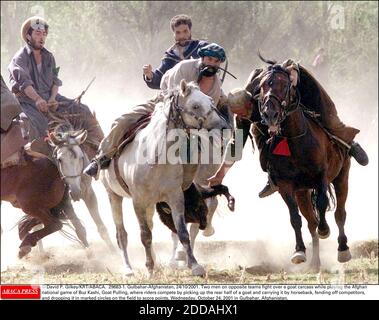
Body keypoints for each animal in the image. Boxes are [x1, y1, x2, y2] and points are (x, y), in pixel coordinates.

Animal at [101, 80, 232, 278]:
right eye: (195, 105)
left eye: (211, 100)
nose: (224, 128)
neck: (155, 155)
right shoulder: (138, 201)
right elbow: (145, 235)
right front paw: (149, 268)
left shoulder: (175, 196)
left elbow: (182, 232)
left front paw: (195, 265)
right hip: (114, 196)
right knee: (121, 234)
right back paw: (128, 269)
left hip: (150, 204)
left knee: (150, 226)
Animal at [256, 58, 354, 270]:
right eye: (262, 85)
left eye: (284, 85)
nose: (269, 114)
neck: (295, 139)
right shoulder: (285, 185)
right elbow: (295, 218)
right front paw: (299, 251)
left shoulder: (321, 177)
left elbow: (323, 203)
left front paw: (325, 230)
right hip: (302, 192)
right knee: (310, 222)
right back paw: (315, 262)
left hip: (342, 176)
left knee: (340, 213)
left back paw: (343, 249)